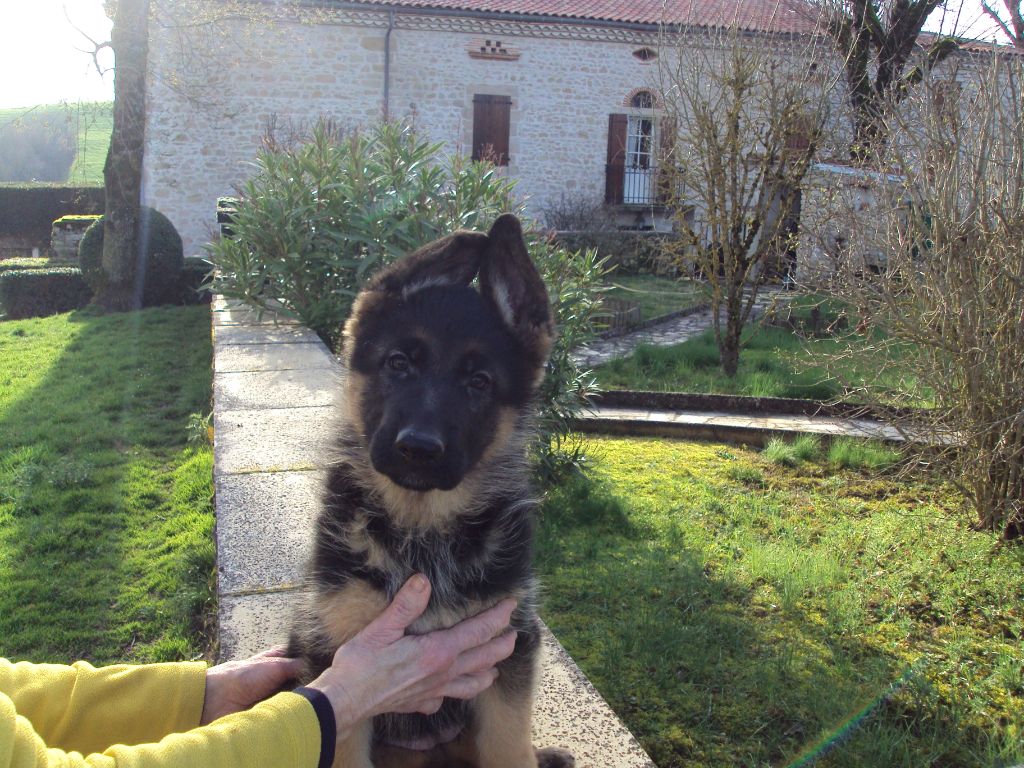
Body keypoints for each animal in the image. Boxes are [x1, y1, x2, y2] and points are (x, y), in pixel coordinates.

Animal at [288, 211, 573, 768]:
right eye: (399, 363)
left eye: (479, 382)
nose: (418, 448)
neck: (422, 524)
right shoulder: (339, 652)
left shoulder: (510, 645)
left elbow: (509, 745)